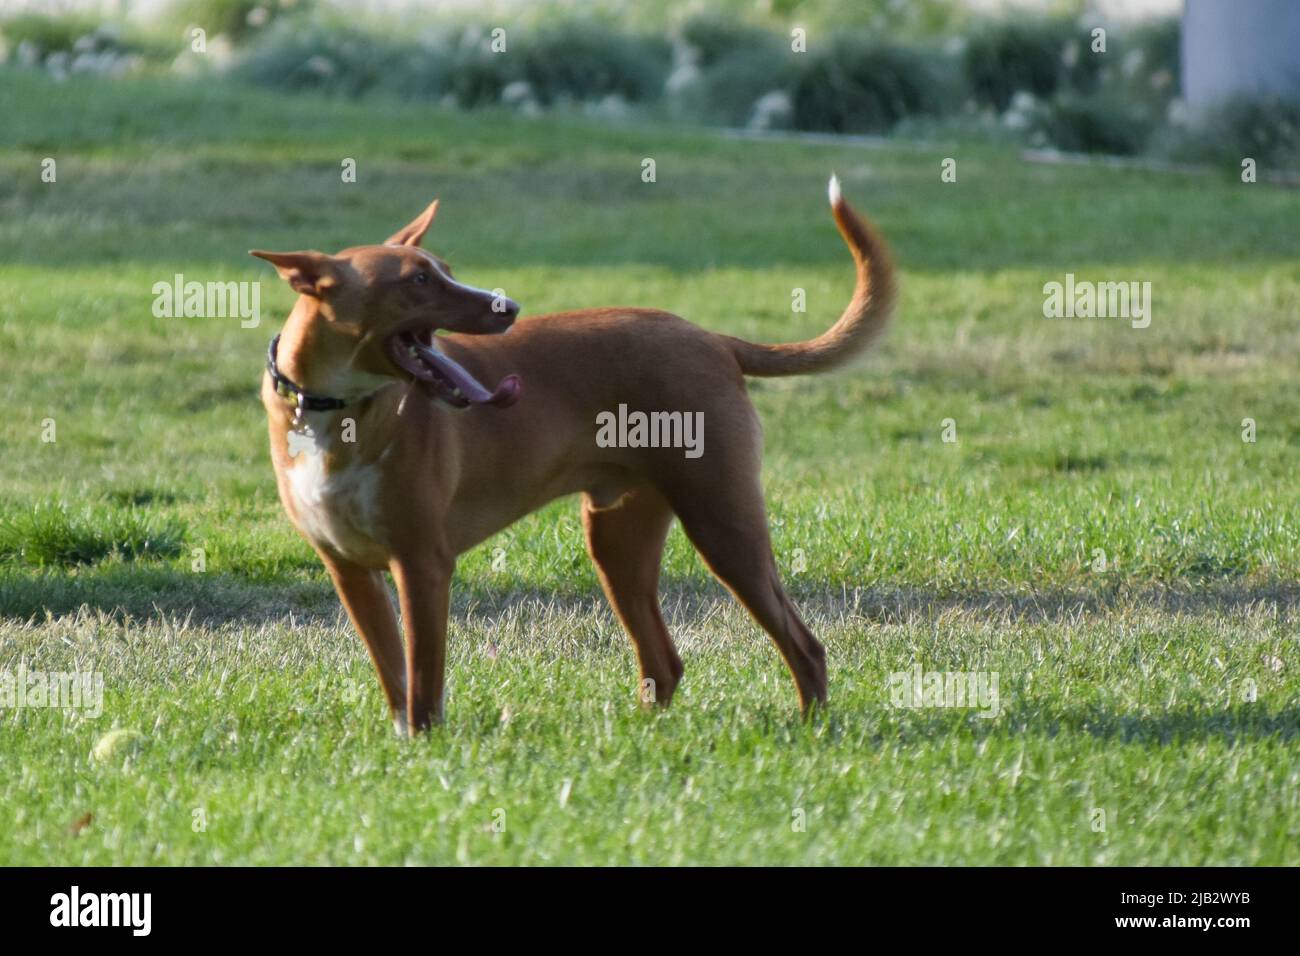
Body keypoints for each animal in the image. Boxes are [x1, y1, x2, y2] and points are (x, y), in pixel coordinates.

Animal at [250, 179, 894, 733]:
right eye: (417, 280)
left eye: (446, 272)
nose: (509, 306)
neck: (332, 410)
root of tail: (714, 340)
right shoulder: (349, 570)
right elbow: (396, 680)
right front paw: (406, 745)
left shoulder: (423, 563)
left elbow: (425, 682)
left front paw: (429, 749)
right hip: (618, 541)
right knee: (664, 663)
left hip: (723, 522)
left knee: (804, 646)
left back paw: (810, 729)